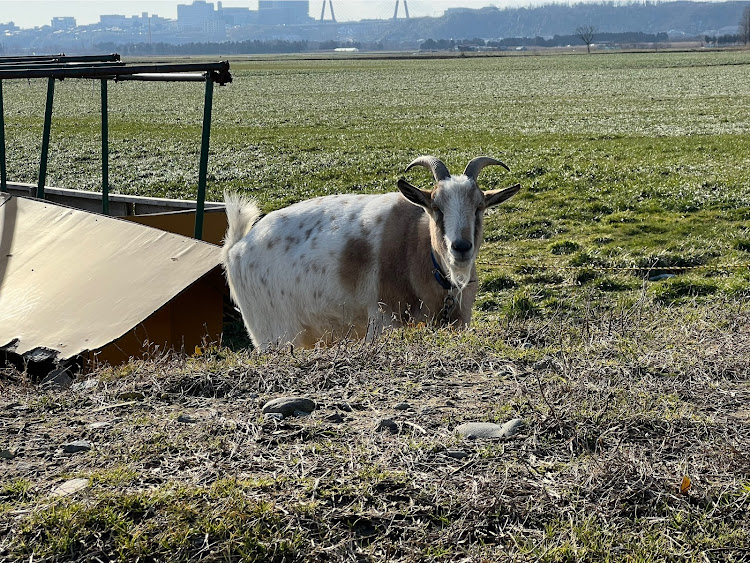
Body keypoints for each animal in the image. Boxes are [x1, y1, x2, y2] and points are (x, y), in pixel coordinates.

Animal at [220, 154, 520, 348]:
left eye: (479, 207)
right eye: (436, 207)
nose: (460, 247)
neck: (417, 246)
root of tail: (237, 246)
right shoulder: (383, 323)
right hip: (274, 336)